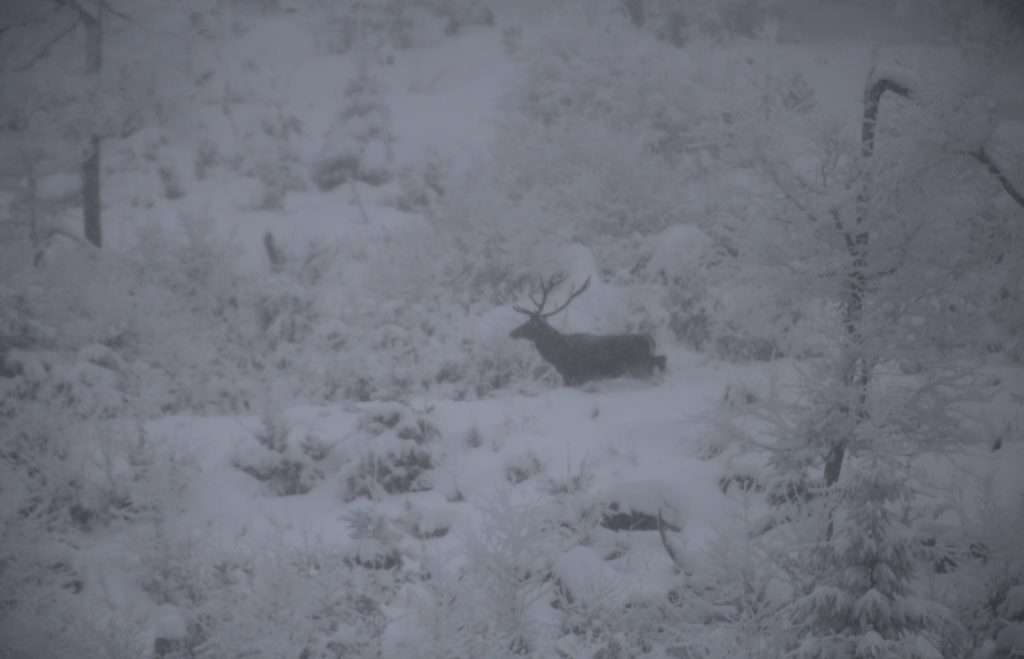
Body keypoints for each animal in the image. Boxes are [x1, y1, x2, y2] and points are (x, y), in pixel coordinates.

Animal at [509, 272, 667, 386]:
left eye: (528, 324)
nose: (512, 333)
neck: (556, 356)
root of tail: (650, 339)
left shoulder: (573, 375)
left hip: (639, 364)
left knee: (660, 360)